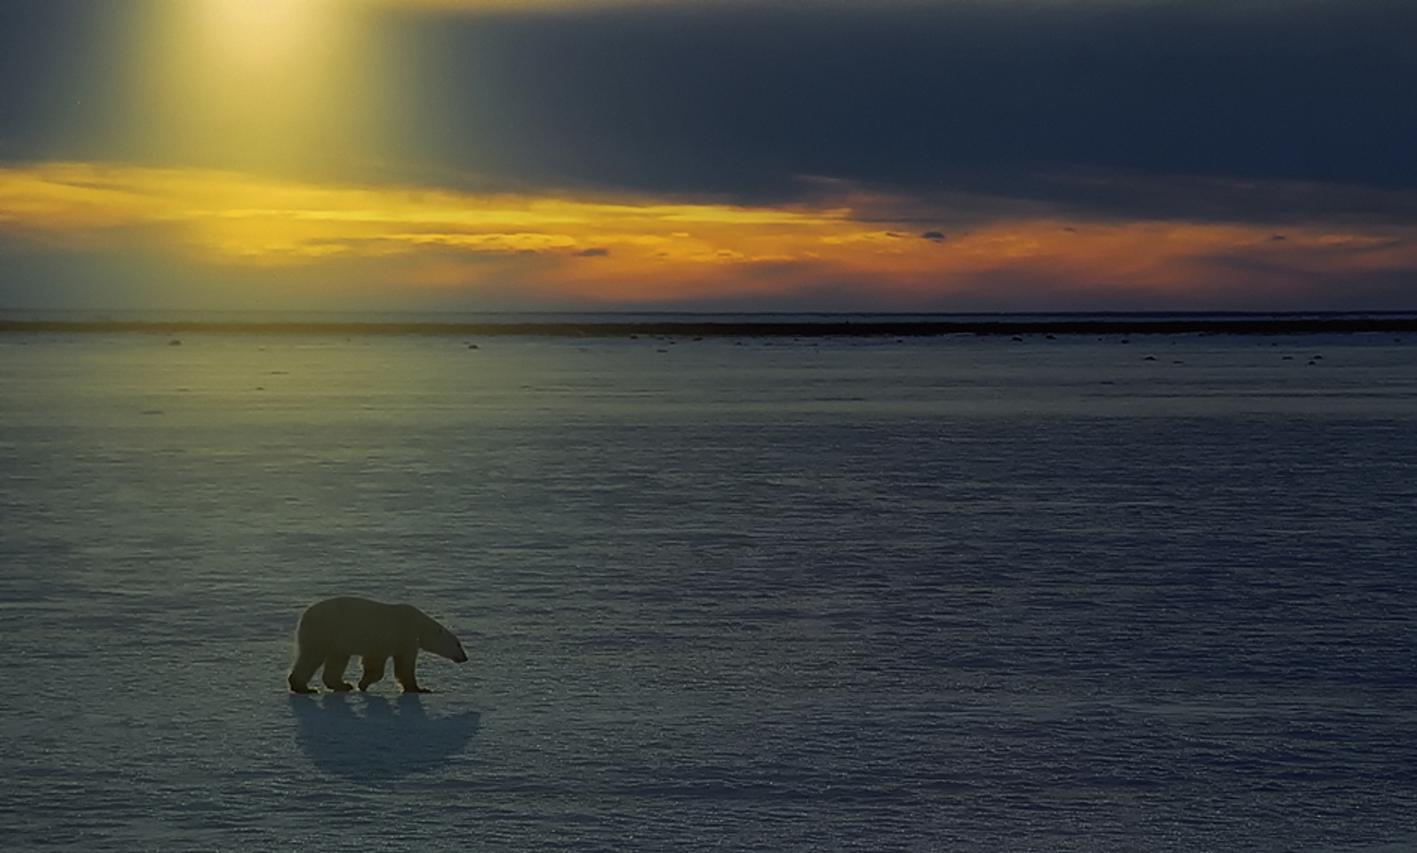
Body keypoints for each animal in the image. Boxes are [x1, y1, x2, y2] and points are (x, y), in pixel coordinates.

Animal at [289, 595, 470, 694]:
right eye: (458, 645)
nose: (465, 658)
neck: (419, 625)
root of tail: (303, 617)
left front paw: (361, 683)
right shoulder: (401, 636)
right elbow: (400, 665)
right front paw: (420, 689)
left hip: (336, 640)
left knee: (336, 659)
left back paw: (343, 685)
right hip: (324, 631)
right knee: (311, 657)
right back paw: (304, 688)